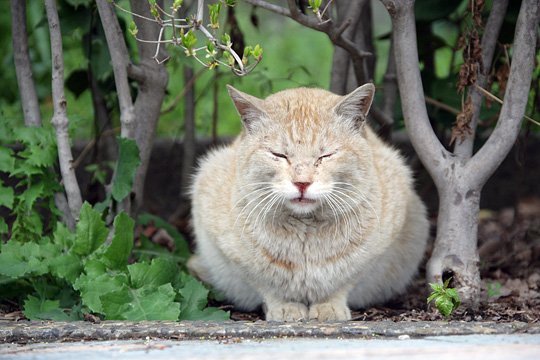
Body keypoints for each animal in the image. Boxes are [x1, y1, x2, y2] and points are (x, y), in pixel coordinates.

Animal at [188, 83, 428, 320]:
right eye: (279, 155)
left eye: (326, 156)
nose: (302, 183)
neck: (305, 232)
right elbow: (268, 287)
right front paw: (285, 307)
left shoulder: (371, 257)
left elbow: (342, 285)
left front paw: (329, 308)